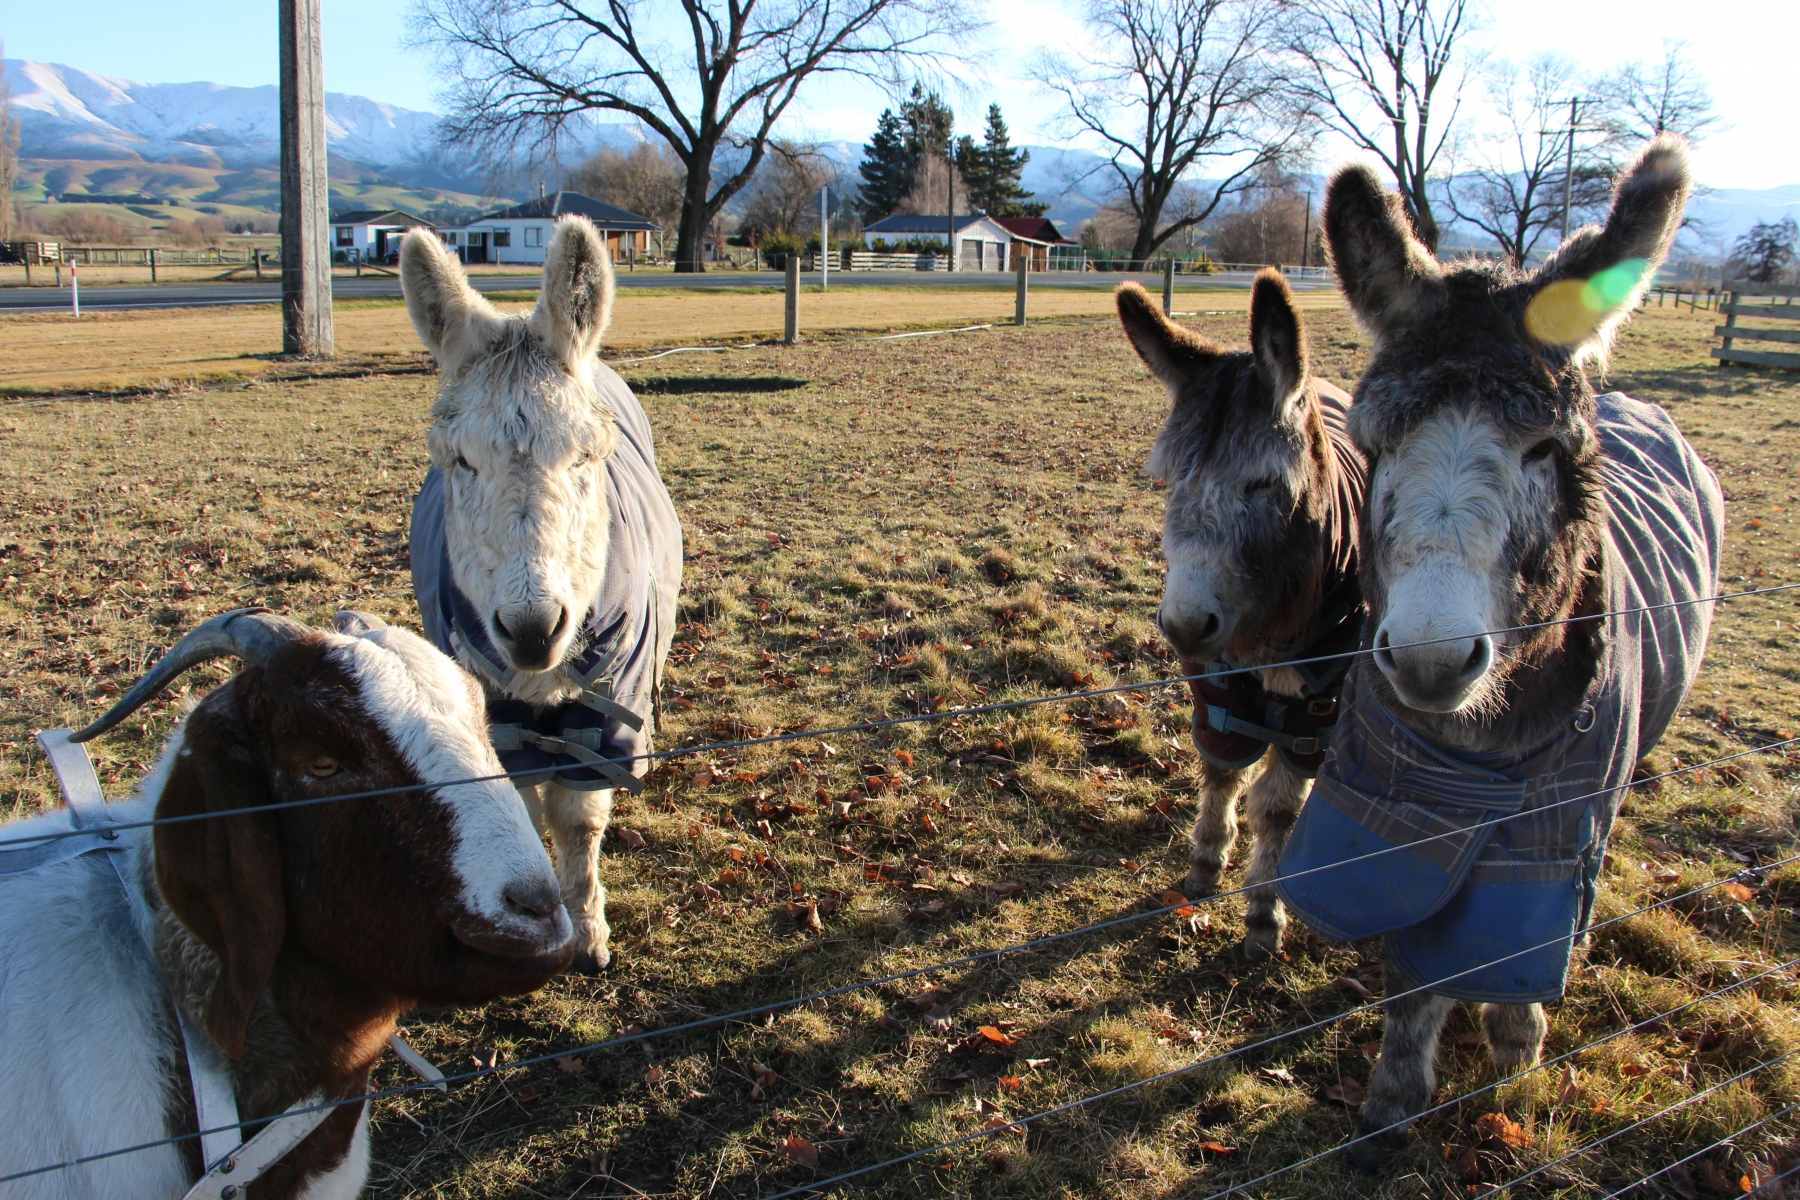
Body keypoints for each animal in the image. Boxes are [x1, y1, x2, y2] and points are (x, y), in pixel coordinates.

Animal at [400, 217, 683, 973]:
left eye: (586, 454)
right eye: (458, 460)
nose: (532, 630)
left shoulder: (607, 708)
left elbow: (578, 823)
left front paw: (588, 936)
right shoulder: (495, 717)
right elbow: (524, 810)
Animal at [1118, 270, 1367, 960]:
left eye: (1264, 487)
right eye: (1167, 482)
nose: (1183, 627)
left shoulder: (1318, 718)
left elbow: (1278, 808)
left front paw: (1262, 913)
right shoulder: (1218, 691)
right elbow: (1221, 771)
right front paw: (1205, 865)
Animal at [1274, 135, 1722, 1168]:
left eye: (1544, 449)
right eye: (1377, 442)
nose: (1433, 664)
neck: (1478, 754)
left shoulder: (1557, 823)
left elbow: (1522, 943)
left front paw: (1516, 1057)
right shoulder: (1403, 820)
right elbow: (1415, 966)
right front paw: (1394, 1102)